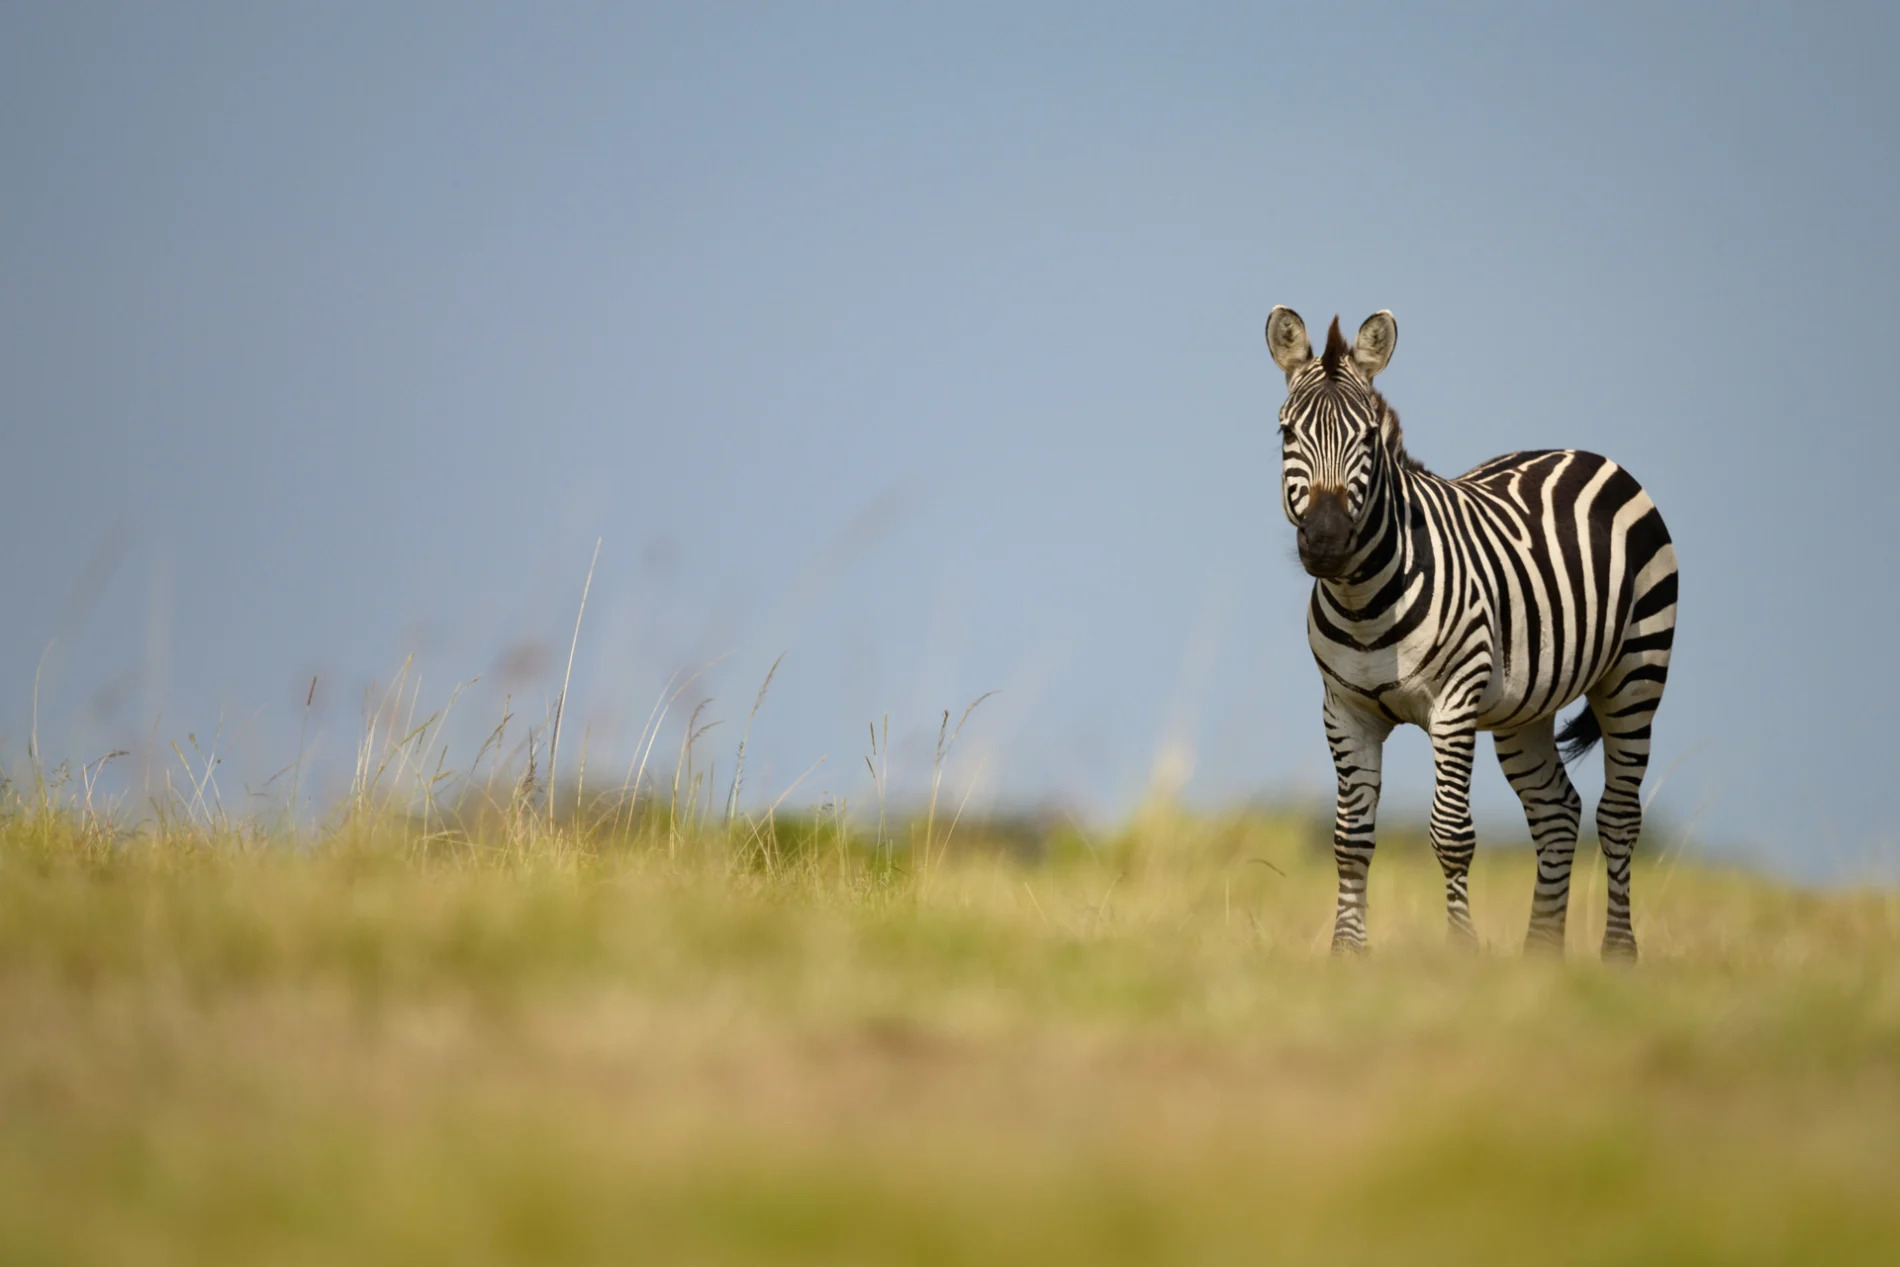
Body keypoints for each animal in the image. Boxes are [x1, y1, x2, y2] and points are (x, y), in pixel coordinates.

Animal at [1261, 307, 1679, 961]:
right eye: (1286, 435)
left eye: (1367, 440)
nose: (1326, 543)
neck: (1363, 605)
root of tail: (1580, 452)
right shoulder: (1345, 711)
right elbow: (1350, 839)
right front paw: (1347, 951)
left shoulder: (1453, 706)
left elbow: (1451, 834)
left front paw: (1460, 950)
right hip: (1525, 706)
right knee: (1558, 812)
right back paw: (1541, 953)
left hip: (1636, 671)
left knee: (1618, 814)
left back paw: (1617, 954)